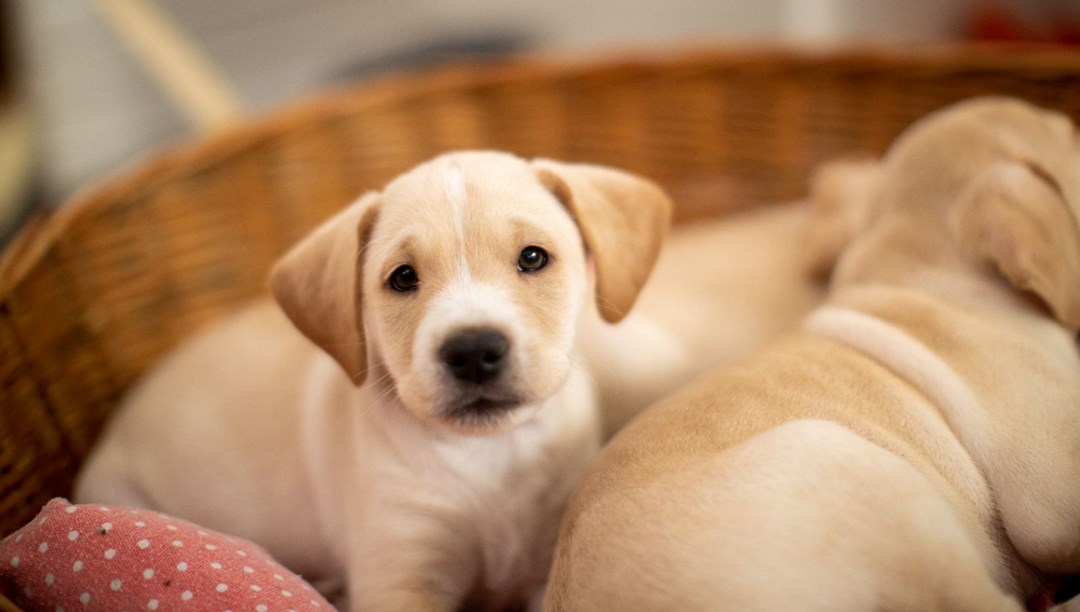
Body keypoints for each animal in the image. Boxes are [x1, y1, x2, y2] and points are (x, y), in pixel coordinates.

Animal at [76, 151, 669, 608]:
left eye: (532, 257)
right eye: (403, 277)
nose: (473, 351)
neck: (489, 456)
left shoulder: (546, 560)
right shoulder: (400, 569)